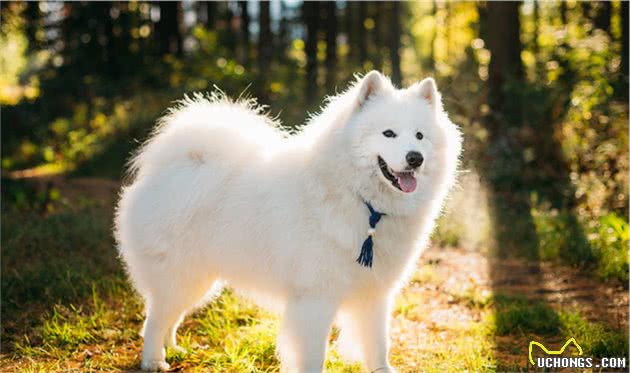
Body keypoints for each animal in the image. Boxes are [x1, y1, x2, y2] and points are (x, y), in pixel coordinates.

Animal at [116, 71, 464, 370]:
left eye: (420, 136)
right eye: (389, 133)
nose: (415, 158)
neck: (361, 203)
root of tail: (172, 165)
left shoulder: (374, 292)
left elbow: (379, 345)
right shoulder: (314, 298)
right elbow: (313, 356)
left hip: (198, 280)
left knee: (169, 318)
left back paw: (174, 349)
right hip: (181, 276)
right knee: (154, 319)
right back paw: (154, 360)